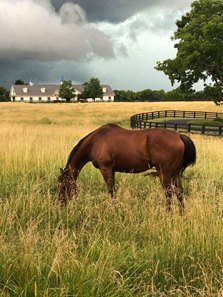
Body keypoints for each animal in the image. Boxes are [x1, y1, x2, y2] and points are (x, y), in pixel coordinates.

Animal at [57, 122, 195, 213]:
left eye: (63, 187)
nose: (59, 205)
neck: (95, 141)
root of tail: (179, 136)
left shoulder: (105, 169)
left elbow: (111, 190)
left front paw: (114, 208)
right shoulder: (111, 170)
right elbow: (113, 189)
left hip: (164, 173)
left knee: (169, 192)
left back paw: (167, 213)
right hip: (175, 173)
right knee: (179, 192)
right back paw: (182, 214)